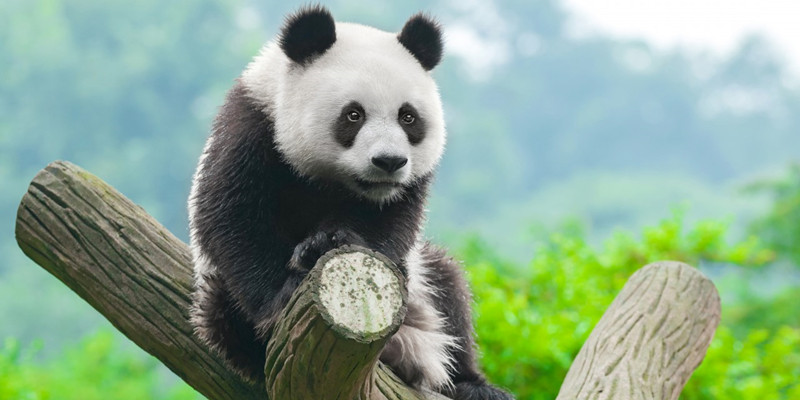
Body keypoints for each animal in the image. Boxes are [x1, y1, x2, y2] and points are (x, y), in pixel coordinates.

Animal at [188, 6, 512, 400]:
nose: (389, 161)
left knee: (449, 290)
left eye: (408, 117)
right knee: (221, 312)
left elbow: (390, 222)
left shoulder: (404, 189)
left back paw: (473, 384)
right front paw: (285, 291)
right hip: (216, 295)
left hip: (423, 285)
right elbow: (233, 218)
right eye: (353, 114)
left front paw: (329, 241)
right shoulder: (252, 127)